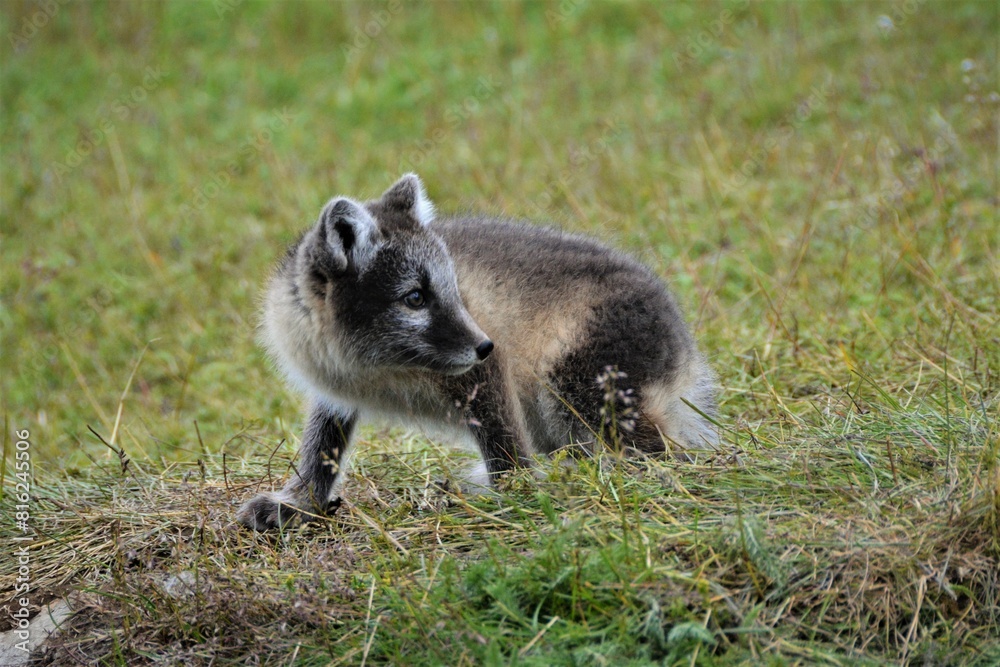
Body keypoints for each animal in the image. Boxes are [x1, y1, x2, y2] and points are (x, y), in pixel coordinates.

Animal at [237, 174, 718, 530]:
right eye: (415, 297)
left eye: (455, 292)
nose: (484, 345)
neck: (376, 367)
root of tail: (687, 348)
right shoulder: (334, 389)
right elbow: (322, 444)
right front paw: (298, 503)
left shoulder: (486, 373)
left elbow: (502, 438)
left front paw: (518, 493)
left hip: (575, 386)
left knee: (665, 453)